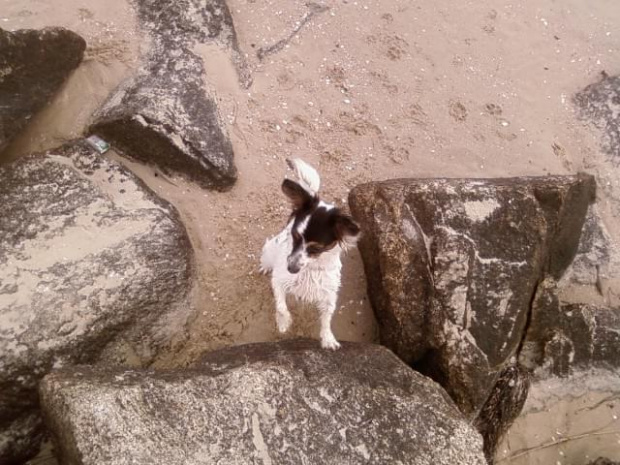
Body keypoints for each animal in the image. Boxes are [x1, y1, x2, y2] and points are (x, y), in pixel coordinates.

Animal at [260, 159, 361, 349]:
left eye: (316, 249)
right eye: (294, 236)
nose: (291, 268)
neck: (310, 269)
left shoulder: (329, 295)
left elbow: (327, 319)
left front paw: (328, 338)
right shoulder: (278, 280)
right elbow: (281, 306)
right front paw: (284, 322)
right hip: (269, 251)